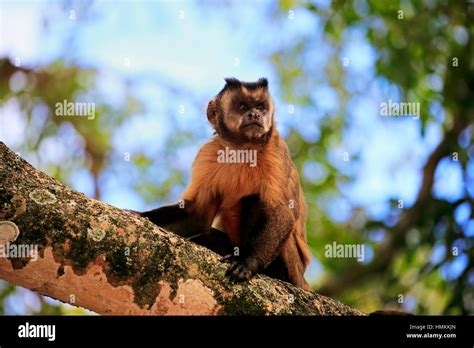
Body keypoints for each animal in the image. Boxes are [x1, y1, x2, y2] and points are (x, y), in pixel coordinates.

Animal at [139, 79, 312, 290]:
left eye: (260, 107)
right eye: (243, 107)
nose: (255, 114)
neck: (242, 149)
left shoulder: (277, 151)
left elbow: (282, 212)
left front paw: (247, 263)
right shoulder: (208, 153)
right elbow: (196, 215)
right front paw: (137, 216)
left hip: (291, 266)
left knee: (254, 199)